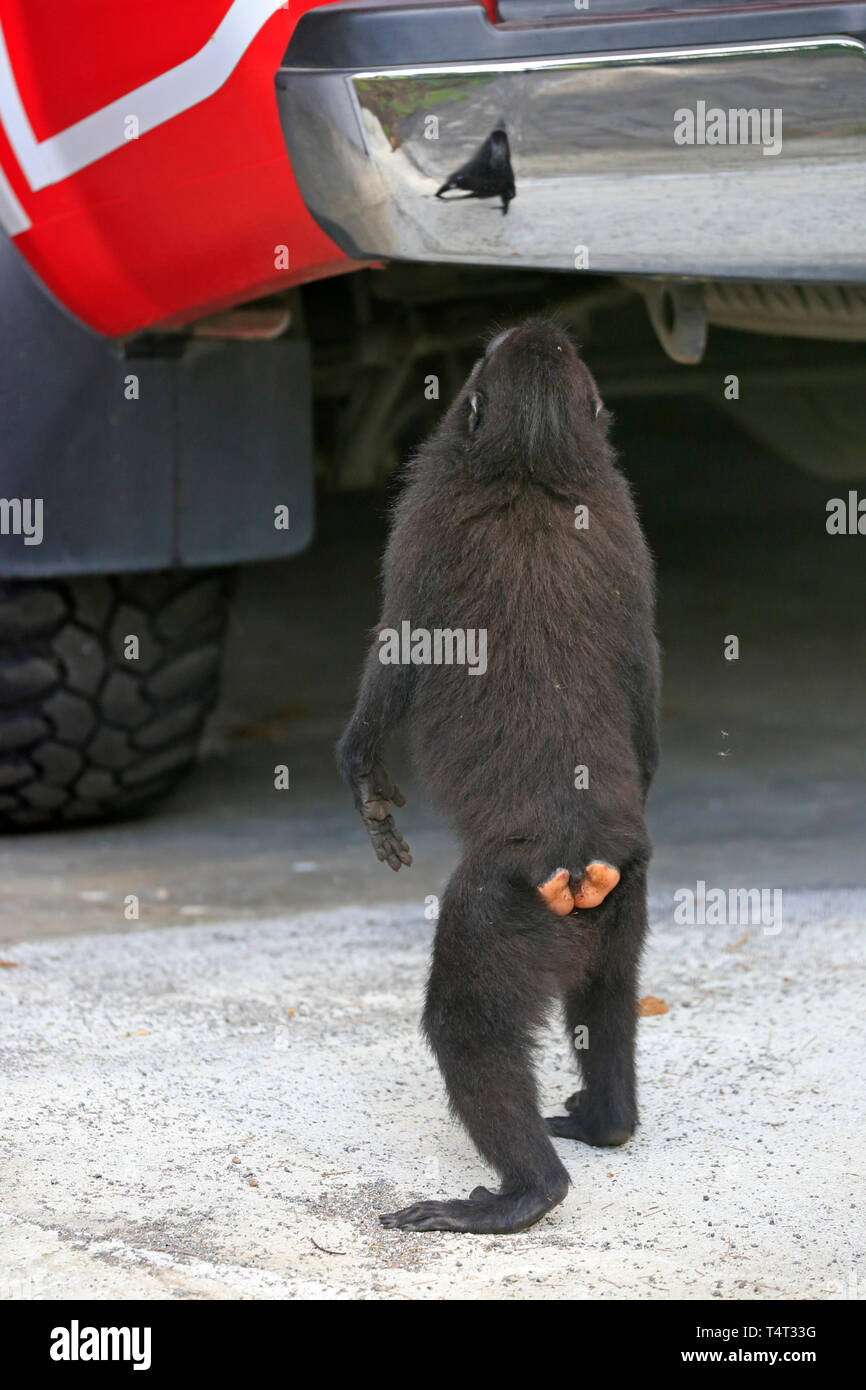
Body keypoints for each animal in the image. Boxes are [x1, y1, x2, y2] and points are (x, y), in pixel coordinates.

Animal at [337, 319, 661, 1234]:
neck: (534, 464)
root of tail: (579, 853)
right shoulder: (622, 515)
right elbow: (643, 672)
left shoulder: (425, 514)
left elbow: (397, 651)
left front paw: (362, 775)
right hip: (622, 895)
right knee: (609, 989)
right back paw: (608, 1120)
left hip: (501, 906)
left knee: (467, 1025)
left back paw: (527, 1191)